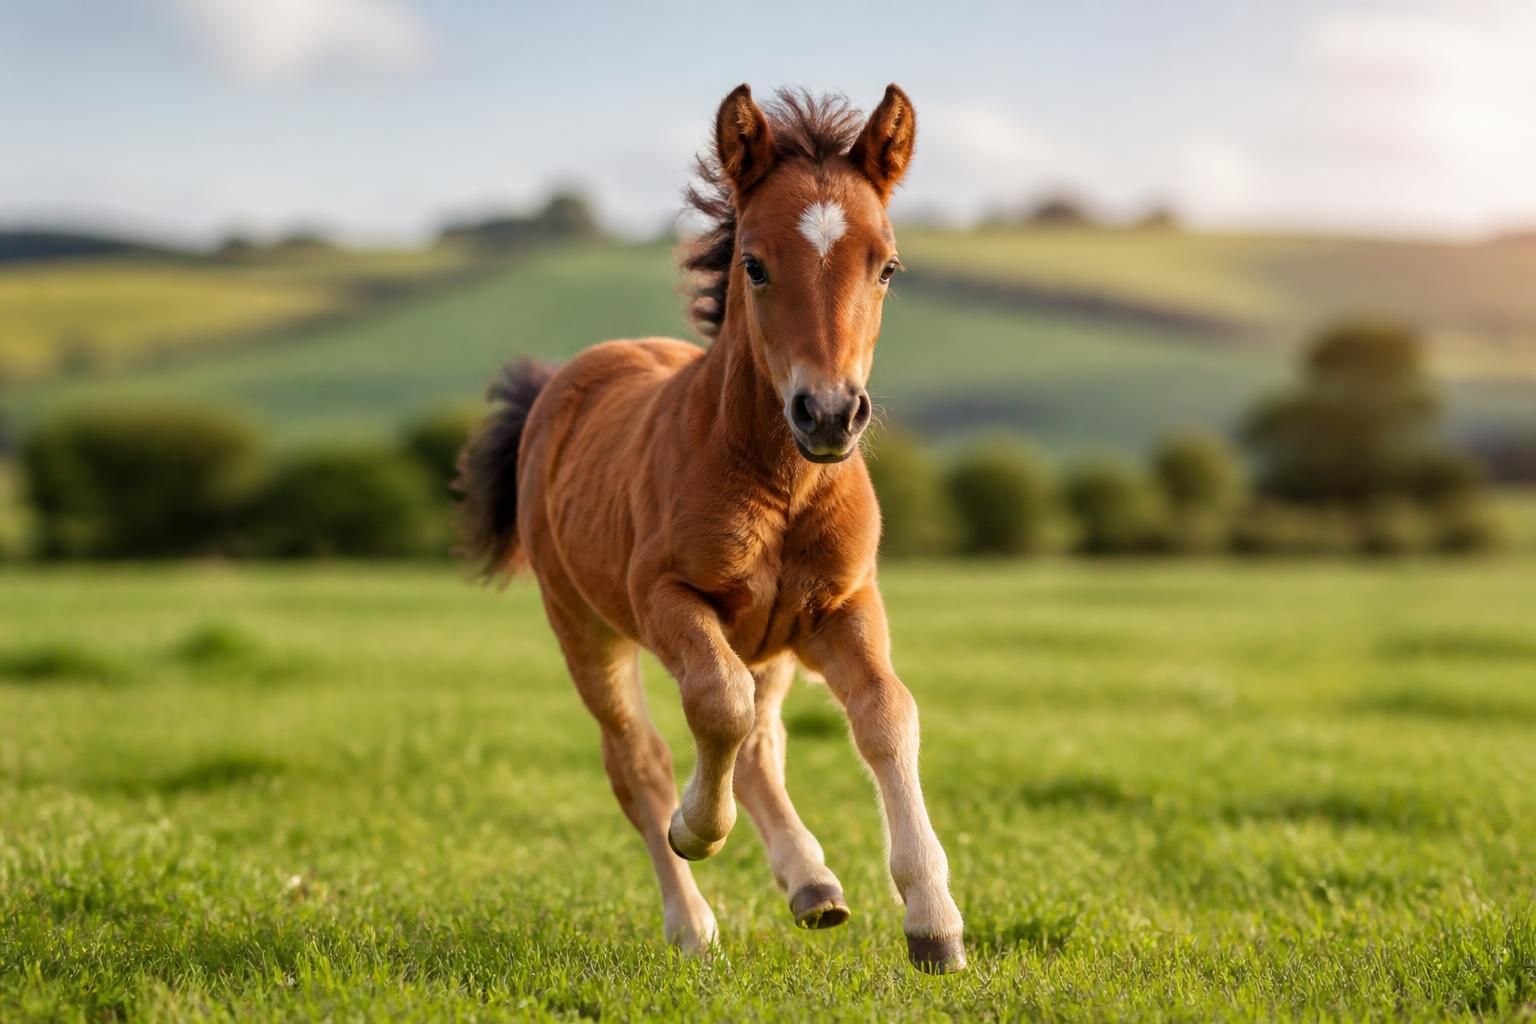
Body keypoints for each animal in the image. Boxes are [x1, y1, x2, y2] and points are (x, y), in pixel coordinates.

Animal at [458, 84, 966, 974]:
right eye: (754, 264)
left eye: (888, 266)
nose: (828, 412)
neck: (781, 483)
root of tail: (565, 381)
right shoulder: (665, 596)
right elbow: (715, 707)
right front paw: (695, 828)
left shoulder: (843, 605)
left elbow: (886, 714)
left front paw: (934, 920)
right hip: (583, 624)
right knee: (638, 758)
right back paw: (692, 922)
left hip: (774, 640)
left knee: (763, 746)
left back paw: (813, 885)